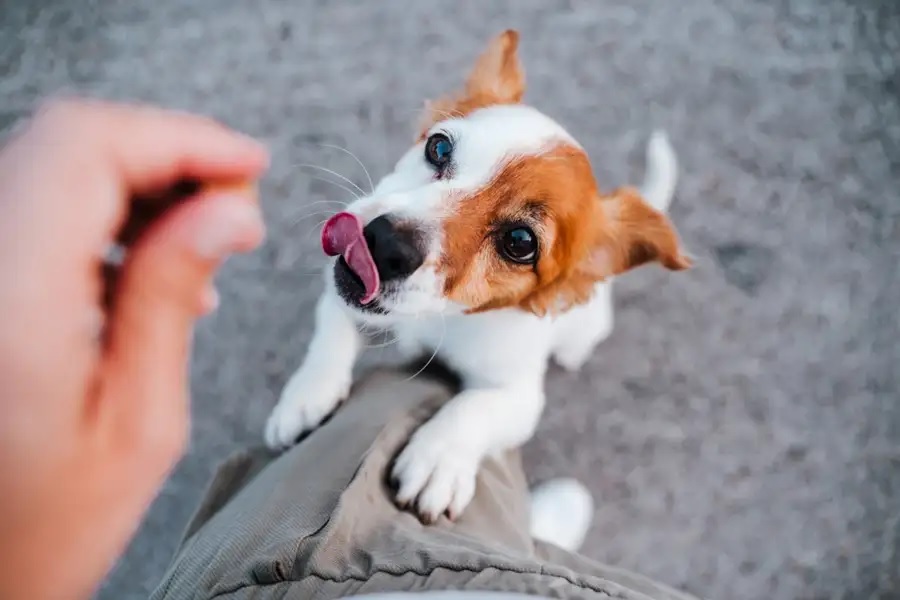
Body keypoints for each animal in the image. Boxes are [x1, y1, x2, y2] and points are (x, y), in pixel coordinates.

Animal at [266, 30, 688, 524]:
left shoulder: (520, 396)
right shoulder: (341, 296)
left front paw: (438, 457)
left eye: (520, 242)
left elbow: (475, 406)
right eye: (438, 147)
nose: (384, 244)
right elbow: (330, 332)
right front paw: (305, 396)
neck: (439, 318)